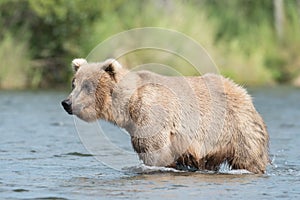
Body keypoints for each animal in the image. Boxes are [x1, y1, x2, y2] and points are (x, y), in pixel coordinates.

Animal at [61, 57, 270, 173]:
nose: (66, 103)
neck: (128, 107)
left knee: (249, 157)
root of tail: (243, 91)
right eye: (74, 84)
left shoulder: (153, 114)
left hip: (236, 127)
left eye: (87, 86)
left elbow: (154, 150)